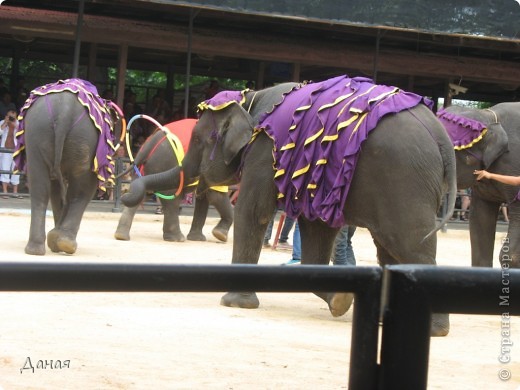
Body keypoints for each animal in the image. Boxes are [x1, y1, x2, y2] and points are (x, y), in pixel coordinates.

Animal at [12, 79, 126, 256]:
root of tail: (65, 109)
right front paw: (56, 240)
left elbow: (56, 190)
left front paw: (54, 240)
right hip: (84, 138)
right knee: (82, 189)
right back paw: (65, 243)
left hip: (38, 131)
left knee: (40, 188)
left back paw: (37, 249)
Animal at [122, 74, 456, 336]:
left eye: (198, 139)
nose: (126, 191)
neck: (251, 99)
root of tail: (441, 137)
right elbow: (316, 231)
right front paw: (341, 301)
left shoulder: (263, 150)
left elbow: (253, 212)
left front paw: (234, 303)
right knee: (391, 247)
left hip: (404, 177)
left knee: (410, 243)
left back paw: (434, 329)